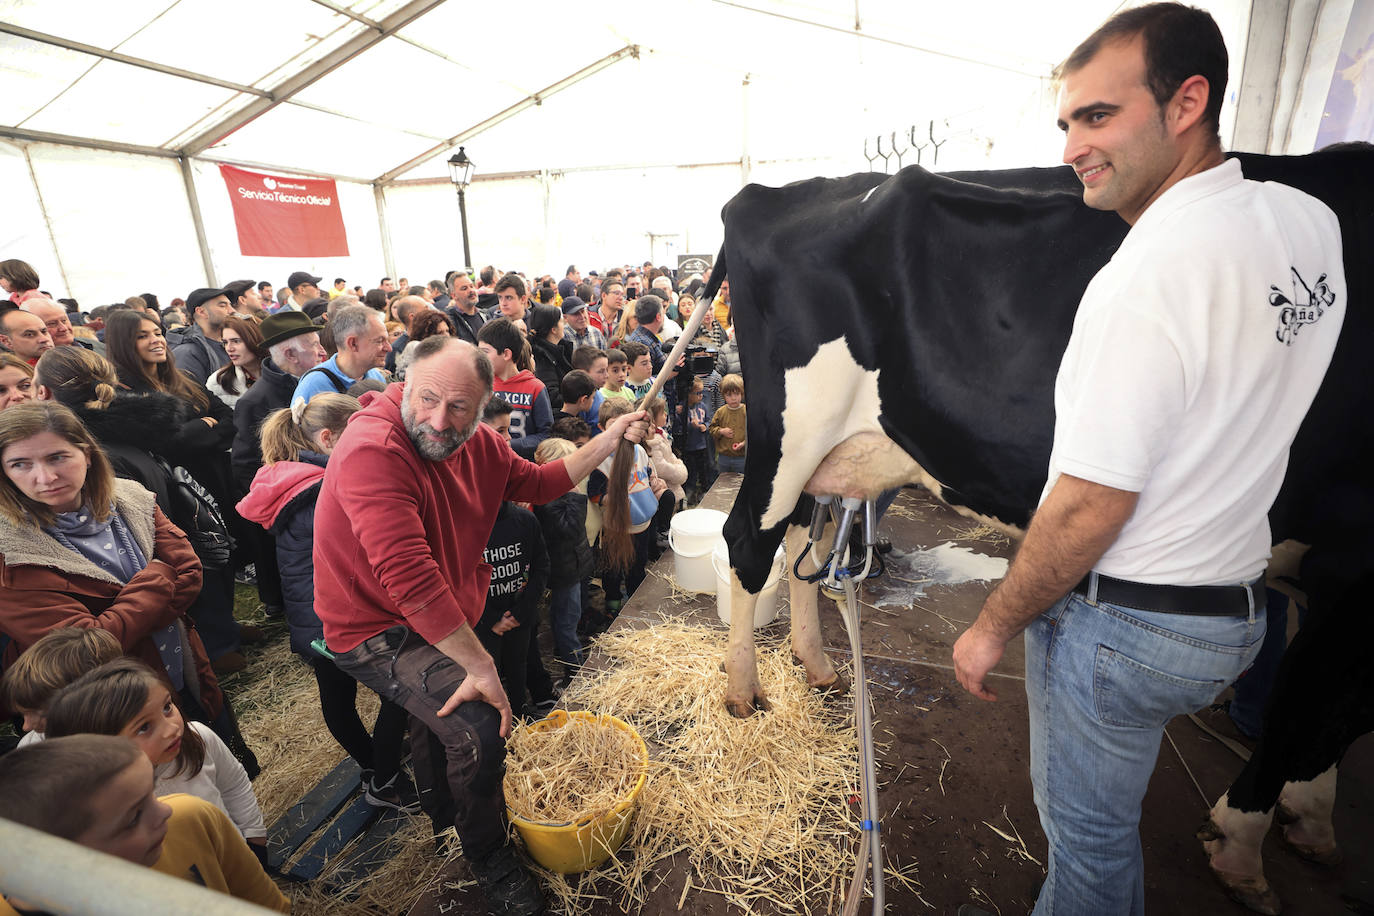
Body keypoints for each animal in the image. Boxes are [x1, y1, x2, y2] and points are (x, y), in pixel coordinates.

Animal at [714, 146, 1374, 911]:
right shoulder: (1352, 570)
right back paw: (742, 694)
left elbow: (1340, 713)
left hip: (826, 456)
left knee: (803, 542)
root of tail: (771, 191)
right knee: (747, 542)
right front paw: (1244, 840)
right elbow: (1311, 707)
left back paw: (816, 664)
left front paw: (1310, 815)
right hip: (788, 434)